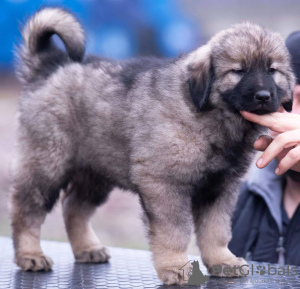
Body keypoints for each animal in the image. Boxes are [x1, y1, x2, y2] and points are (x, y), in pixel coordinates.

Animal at [11, 7, 296, 284]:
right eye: (238, 71)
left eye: (272, 70)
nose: (263, 96)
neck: (213, 116)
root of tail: (50, 66)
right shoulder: (165, 183)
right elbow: (174, 231)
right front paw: (176, 267)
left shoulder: (220, 187)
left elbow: (216, 229)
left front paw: (222, 260)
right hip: (49, 161)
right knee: (27, 208)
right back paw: (30, 254)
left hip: (96, 169)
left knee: (74, 207)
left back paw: (87, 248)